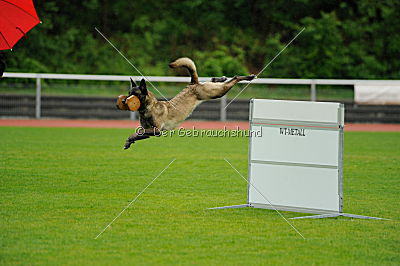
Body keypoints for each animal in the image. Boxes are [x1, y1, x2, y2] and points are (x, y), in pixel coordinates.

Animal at [122, 57, 255, 150]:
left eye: (135, 94)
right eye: (128, 93)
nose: (123, 100)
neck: (148, 108)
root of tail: (192, 84)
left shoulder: (157, 130)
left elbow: (138, 133)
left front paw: (130, 139)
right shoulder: (149, 131)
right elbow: (138, 133)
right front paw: (129, 142)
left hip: (215, 92)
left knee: (235, 78)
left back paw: (249, 77)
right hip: (210, 89)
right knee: (211, 80)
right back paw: (220, 78)